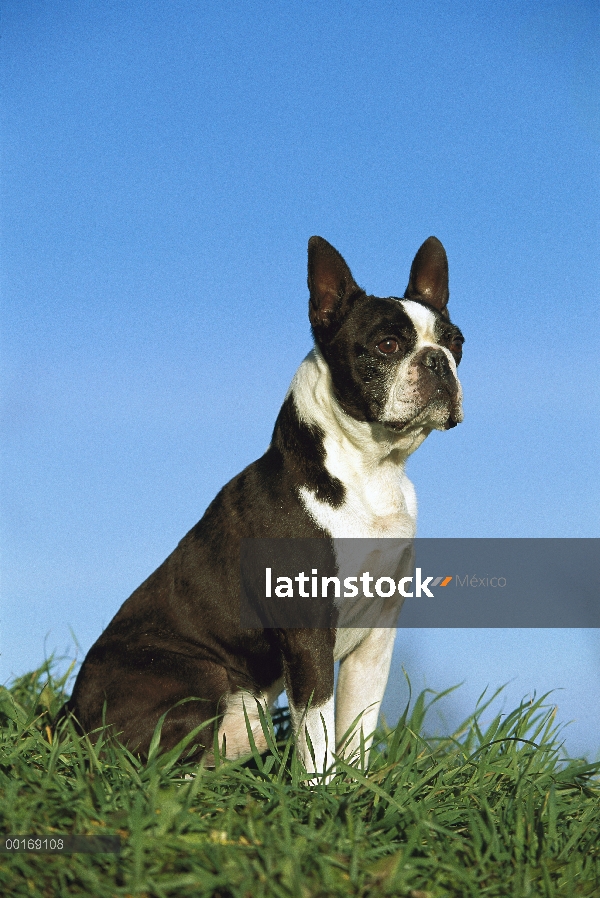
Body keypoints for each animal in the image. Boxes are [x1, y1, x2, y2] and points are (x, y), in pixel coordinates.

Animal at [61, 234, 464, 772]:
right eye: (388, 345)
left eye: (457, 342)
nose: (438, 360)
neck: (372, 470)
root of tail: (71, 717)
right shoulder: (308, 630)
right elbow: (317, 729)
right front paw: (320, 788)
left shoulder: (376, 637)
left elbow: (358, 726)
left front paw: (357, 788)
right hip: (204, 676)